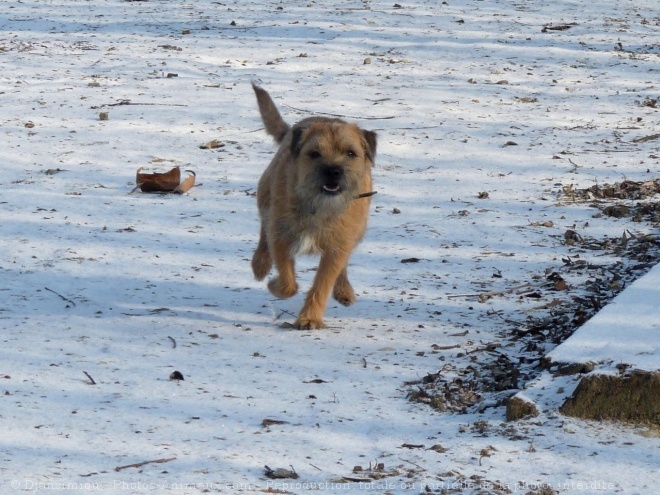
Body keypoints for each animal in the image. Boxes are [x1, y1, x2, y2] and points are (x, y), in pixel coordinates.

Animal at [251, 85, 378, 332]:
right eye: (314, 154)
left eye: (351, 153)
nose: (333, 171)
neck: (320, 206)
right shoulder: (281, 236)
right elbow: (288, 281)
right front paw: (274, 284)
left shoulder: (337, 246)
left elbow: (323, 283)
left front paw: (309, 318)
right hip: (265, 194)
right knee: (263, 228)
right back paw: (260, 263)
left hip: (358, 231)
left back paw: (344, 290)